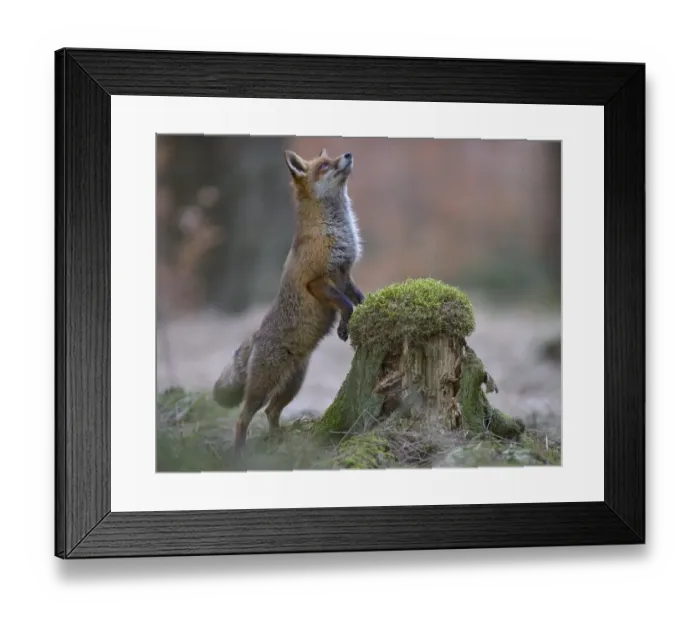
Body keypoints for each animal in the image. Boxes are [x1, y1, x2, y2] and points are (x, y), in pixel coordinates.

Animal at [213, 147, 365, 458]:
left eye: (331, 159)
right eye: (324, 166)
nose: (348, 153)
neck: (331, 229)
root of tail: (256, 336)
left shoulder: (344, 273)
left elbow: (356, 296)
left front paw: (365, 307)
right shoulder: (317, 281)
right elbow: (345, 304)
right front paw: (344, 327)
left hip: (293, 385)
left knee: (271, 412)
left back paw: (278, 441)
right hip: (263, 387)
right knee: (243, 417)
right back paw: (240, 453)